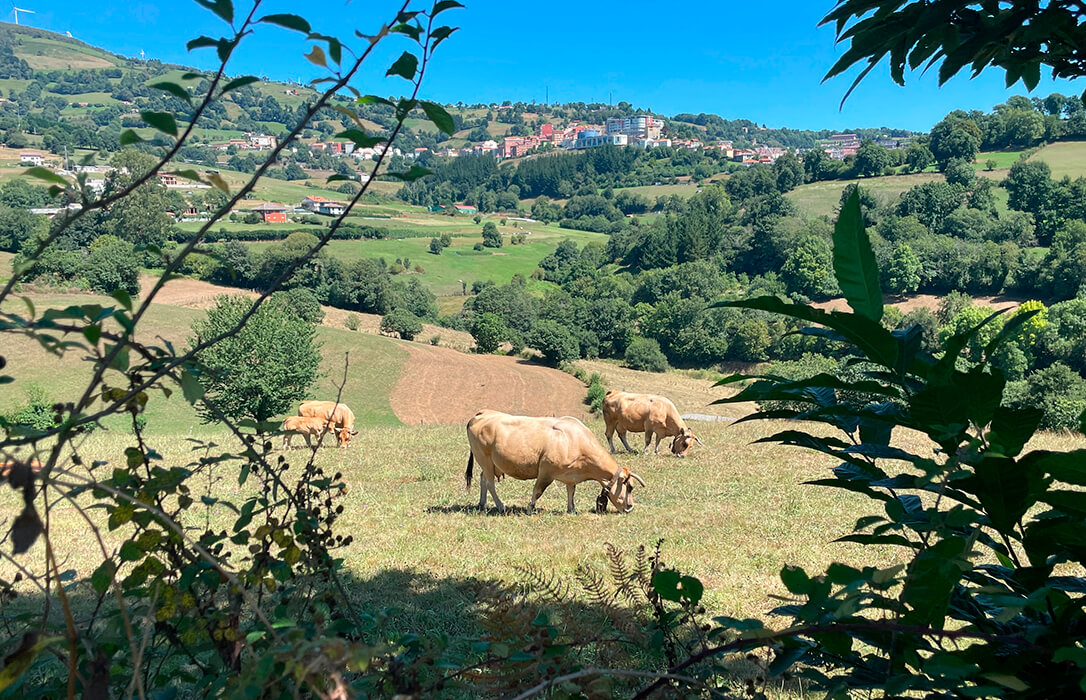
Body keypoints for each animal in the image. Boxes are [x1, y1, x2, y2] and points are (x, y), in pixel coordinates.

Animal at [460, 410, 642, 512]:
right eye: (630, 487)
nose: (630, 507)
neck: (575, 440)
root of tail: (481, 414)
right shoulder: (546, 471)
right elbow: (538, 491)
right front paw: (530, 508)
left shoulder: (571, 475)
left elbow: (571, 492)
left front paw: (572, 509)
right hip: (484, 458)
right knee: (490, 483)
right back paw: (500, 505)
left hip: (489, 463)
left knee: (483, 479)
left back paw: (482, 504)